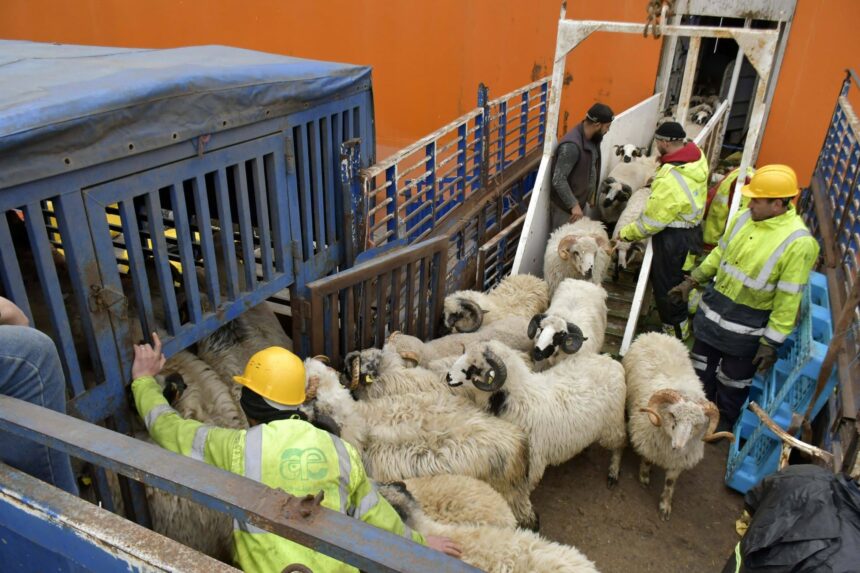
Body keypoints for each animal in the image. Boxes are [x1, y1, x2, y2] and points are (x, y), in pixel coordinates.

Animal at [446, 340, 627, 489]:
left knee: (620, 443)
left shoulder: (533, 463)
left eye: (474, 368)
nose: (448, 377)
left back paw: (613, 473)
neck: (517, 399)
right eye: (463, 353)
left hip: (612, 424)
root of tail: (611, 361)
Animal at [622, 333, 735, 520]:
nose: (679, 446)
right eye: (673, 416)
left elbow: (670, 482)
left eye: (697, 425)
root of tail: (657, 334)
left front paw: (665, 506)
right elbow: (647, 459)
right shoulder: (649, 442)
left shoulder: (680, 460)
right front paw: (644, 476)